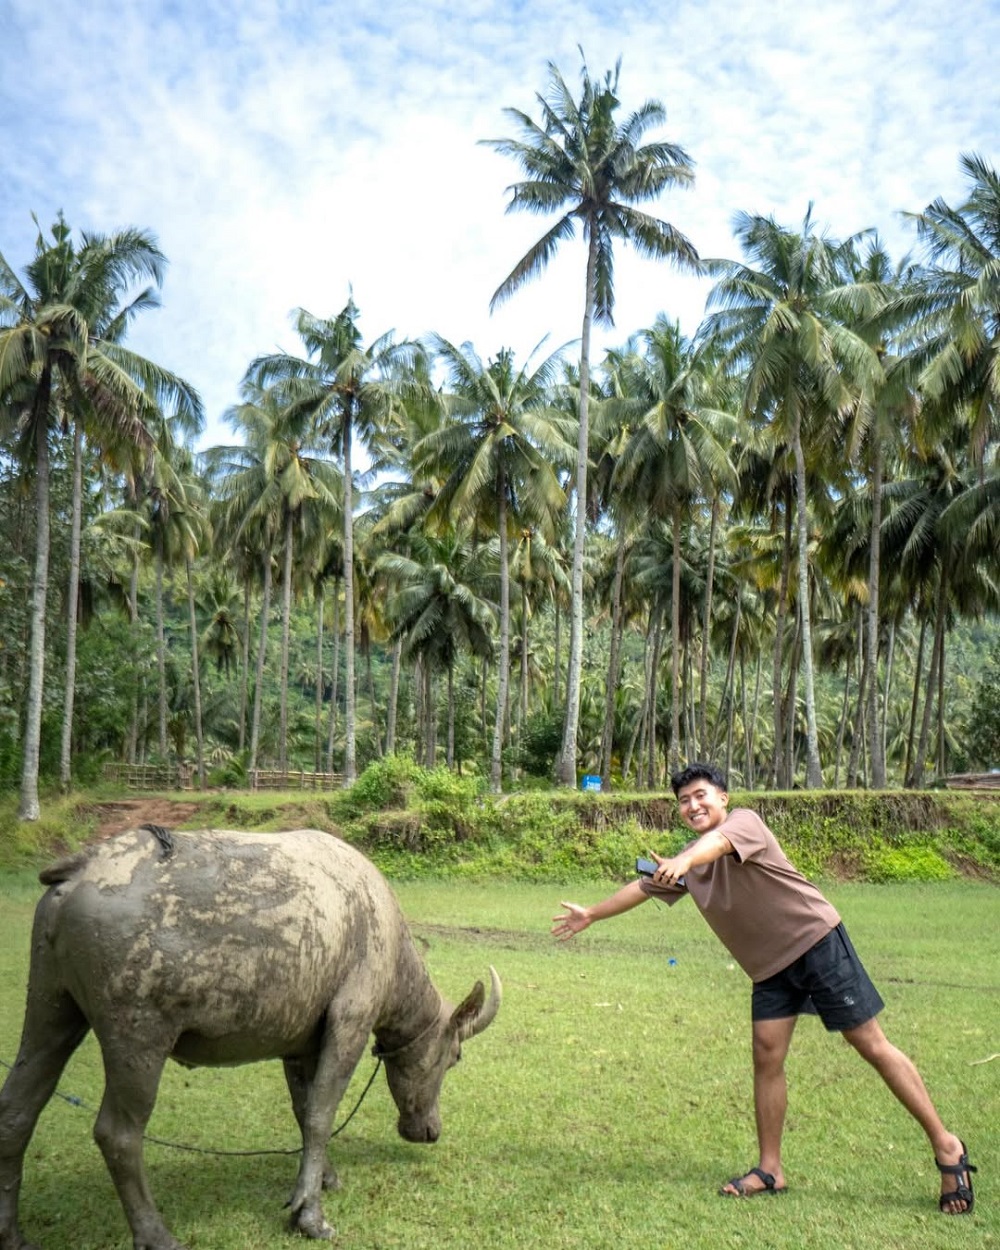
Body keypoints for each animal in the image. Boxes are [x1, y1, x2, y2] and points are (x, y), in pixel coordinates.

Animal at [0, 825, 500, 1245]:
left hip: (51, 1007)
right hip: (137, 1038)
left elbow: (303, 1110)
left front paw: (323, 1179)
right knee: (117, 1133)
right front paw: (309, 1215)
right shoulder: (350, 1021)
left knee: (17, 1111)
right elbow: (321, 1113)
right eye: (454, 1058)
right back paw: (156, 1234)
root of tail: (82, 866)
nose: (430, 1130)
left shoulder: (301, 1045)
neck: (387, 942)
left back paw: (13, 1234)